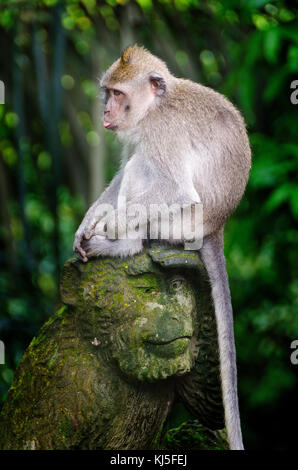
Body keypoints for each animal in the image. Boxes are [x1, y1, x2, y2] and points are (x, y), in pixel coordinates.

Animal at [73, 46, 250, 450]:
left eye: (118, 94)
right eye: (107, 92)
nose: (105, 112)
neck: (156, 105)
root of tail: (217, 226)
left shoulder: (161, 133)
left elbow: (175, 188)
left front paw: (110, 225)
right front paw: (89, 219)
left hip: (183, 223)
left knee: (145, 169)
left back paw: (125, 243)